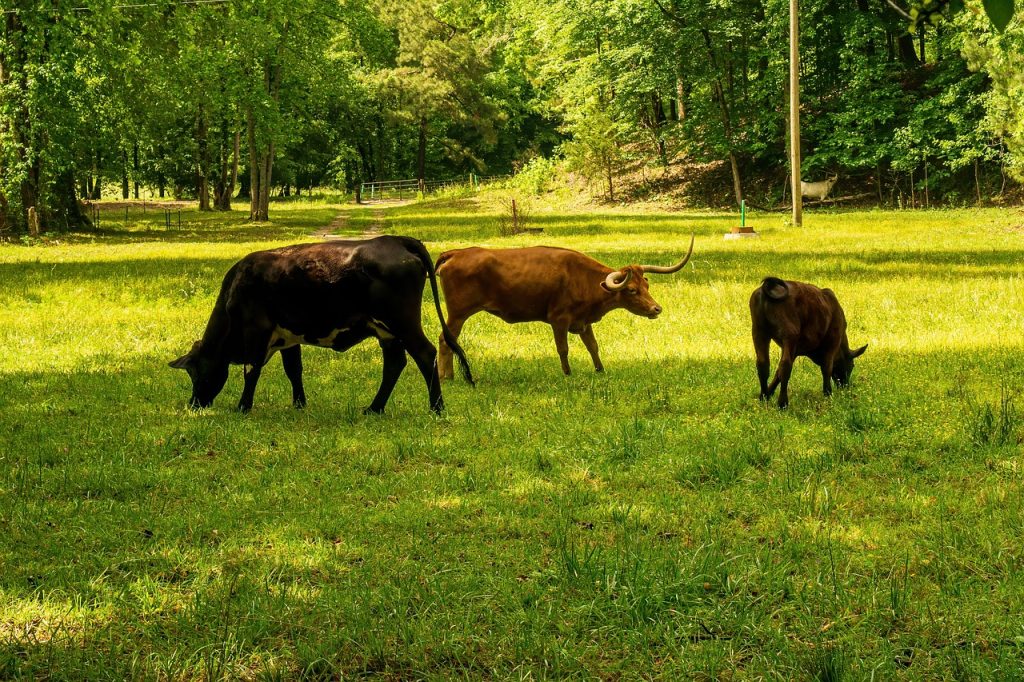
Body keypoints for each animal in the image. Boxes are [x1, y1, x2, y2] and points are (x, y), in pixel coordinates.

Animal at [167, 236, 471, 411]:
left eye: (195, 372)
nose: (194, 404)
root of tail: (395, 240)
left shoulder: (257, 330)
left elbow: (251, 371)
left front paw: (243, 406)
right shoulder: (288, 336)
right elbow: (294, 371)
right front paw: (299, 404)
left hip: (402, 322)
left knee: (425, 354)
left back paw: (436, 408)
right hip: (386, 331)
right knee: (395, 364)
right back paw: (374, 408)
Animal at [434, 235, 696, 376]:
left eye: (647, 285)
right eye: (632, 289)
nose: (656, 309)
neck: (583, 278)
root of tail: (456, 253)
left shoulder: (584, 322)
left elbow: (593, 347)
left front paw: (600, 370)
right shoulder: (558, 319)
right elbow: (563, 348)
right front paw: (568, 373)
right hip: (457, 314)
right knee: (445, 340)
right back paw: (447, 376)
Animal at [749, 278, 868, 409]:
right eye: (852, 366)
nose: (845, 386)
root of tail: (770, 286)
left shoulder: (795, 350)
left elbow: (777, 373)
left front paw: (768, 394)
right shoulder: (832, 342)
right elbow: (827, 368)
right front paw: (828, 394)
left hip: (759, 331)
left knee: (763, 364)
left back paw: (763, 397)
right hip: (789, 334)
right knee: (785, 366)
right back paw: (783, 403)